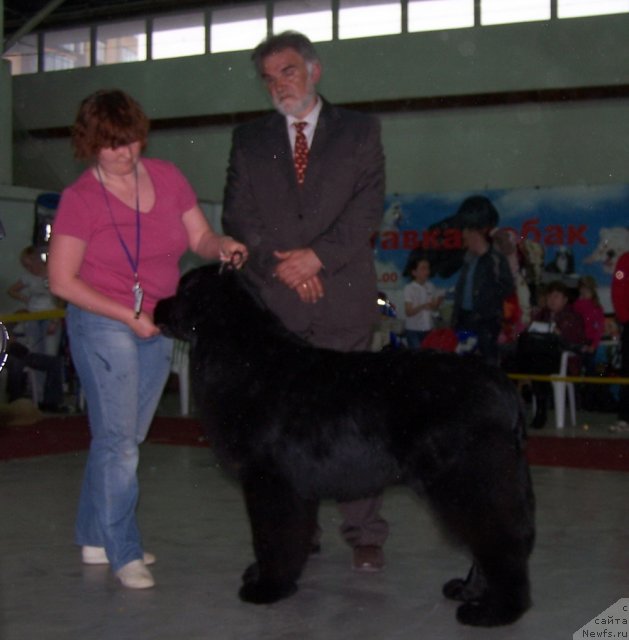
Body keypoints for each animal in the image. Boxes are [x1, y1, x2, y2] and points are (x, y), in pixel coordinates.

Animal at [155, 264, 532, 624]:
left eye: (184, 290)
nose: (158, 306)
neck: (242, 351)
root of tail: (502, 385)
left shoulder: (269, 481)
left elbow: (269, 536)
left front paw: (269, 586)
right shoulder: (291, 488)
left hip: (468, 480)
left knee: (502, 541)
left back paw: (496, 611)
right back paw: (470, 591)